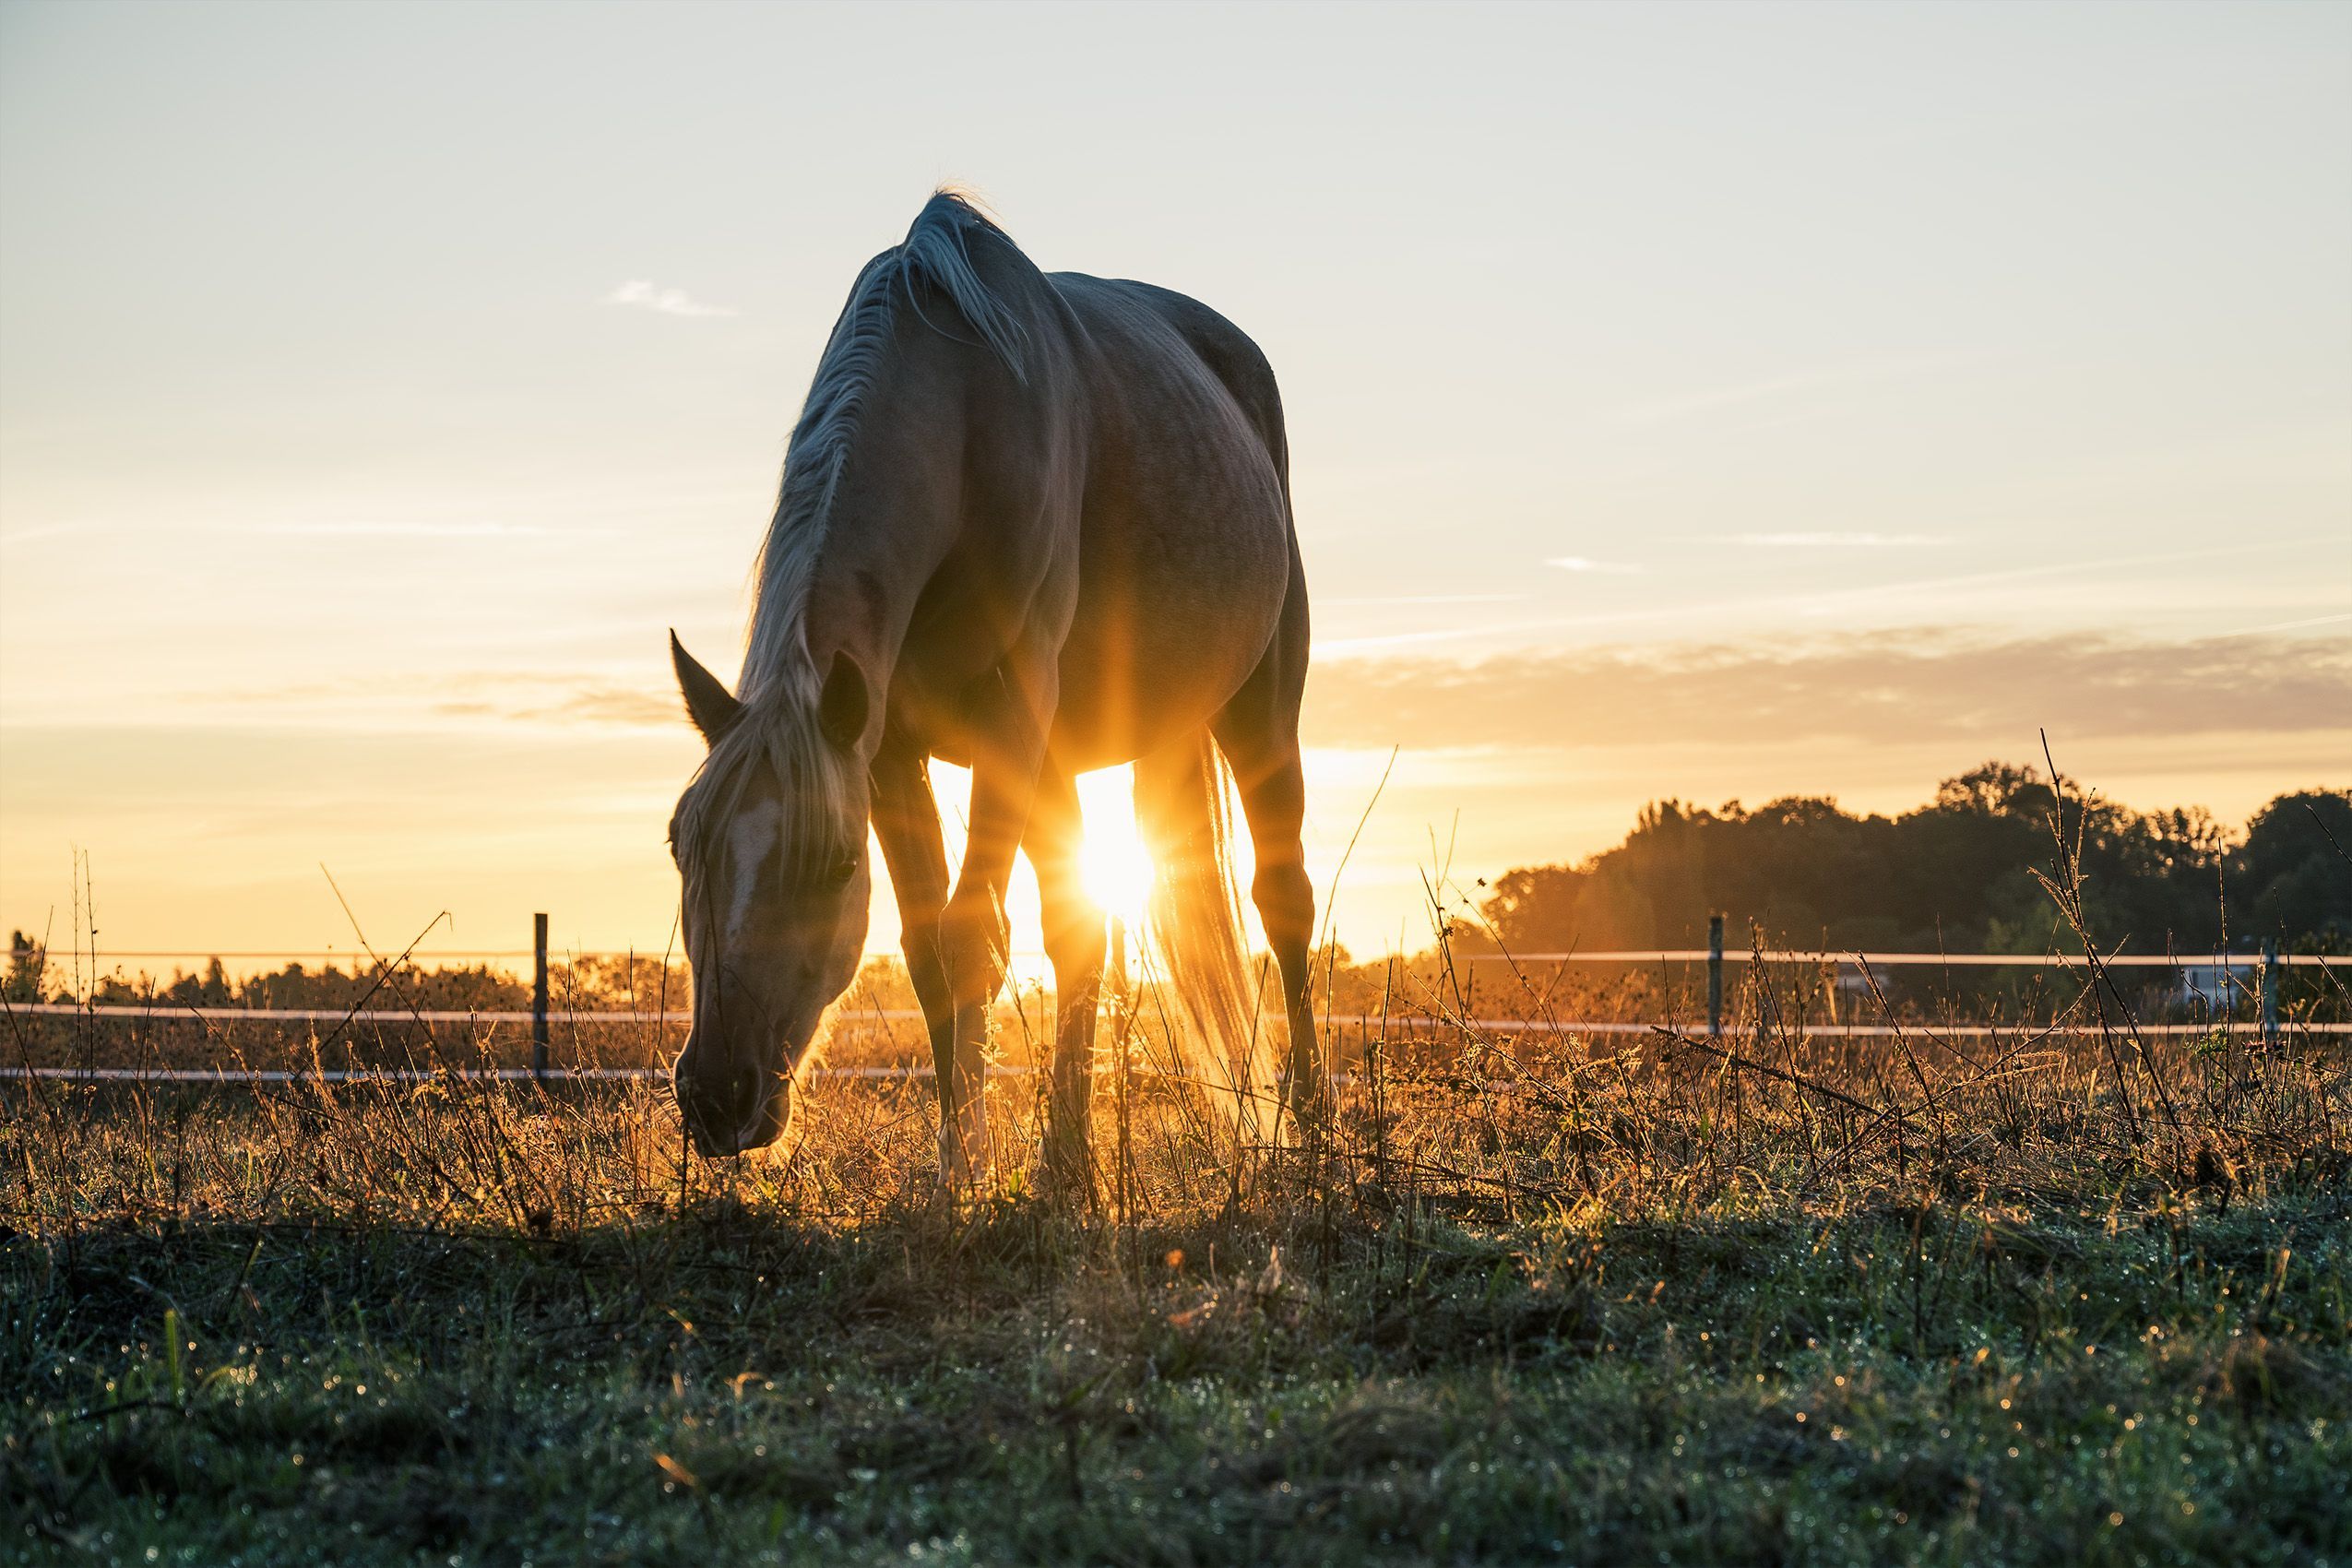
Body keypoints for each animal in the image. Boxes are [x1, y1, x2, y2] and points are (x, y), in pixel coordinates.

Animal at [664, 190, 1316, 1185]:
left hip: (1260, 710)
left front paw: (977, 1167)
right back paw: (1071, 1155)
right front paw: (965, 1161)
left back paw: (1320, 1130)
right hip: (1072, 754)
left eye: (833, 864)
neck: (964, 422)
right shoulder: (888, 750)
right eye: (683, 846)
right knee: (1085, 924)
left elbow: (972, 937)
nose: (716, 1093)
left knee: (1285, 903)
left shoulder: (1008, 719)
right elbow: (931, 949)